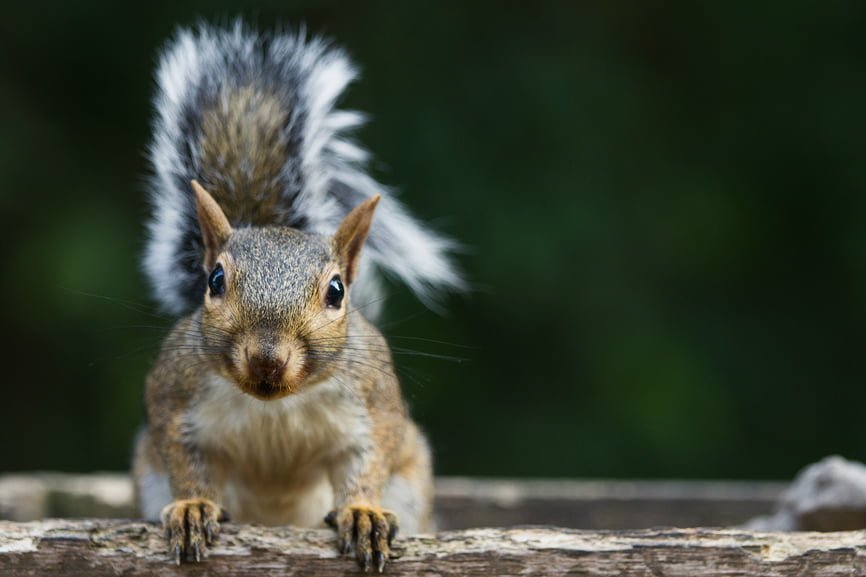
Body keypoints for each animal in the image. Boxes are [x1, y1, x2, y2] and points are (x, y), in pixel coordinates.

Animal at [131, 22, 462, 572]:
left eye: (337, 291)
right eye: (214, 281)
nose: (267, 359)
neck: (275, 404)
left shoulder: (373, 405)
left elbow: (367, 459)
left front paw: (362, 513)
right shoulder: (175, 397)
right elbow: (183, 458)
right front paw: (193, 506)